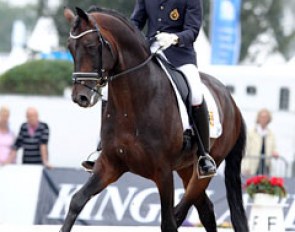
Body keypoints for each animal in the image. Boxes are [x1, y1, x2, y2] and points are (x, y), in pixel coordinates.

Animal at [61, 6, 250, 232]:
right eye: (70, 48)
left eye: (90, 46)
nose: (80, 97)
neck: (133, 105)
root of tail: (233, 103)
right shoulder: (109, 164)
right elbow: (77, 201)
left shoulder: (163, 172)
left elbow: (168, 222)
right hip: (187, 168)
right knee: (205, 208)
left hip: (206, 167)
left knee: (184, 208)